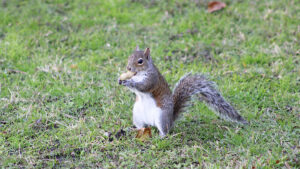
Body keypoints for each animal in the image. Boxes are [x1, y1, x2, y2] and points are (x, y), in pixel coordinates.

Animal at [118, 46, 247, 137]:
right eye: (129, 57)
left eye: (140, 61)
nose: (128, 68)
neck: (138, 74)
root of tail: (171, 120)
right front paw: (120, 80)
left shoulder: (152, 79)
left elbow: (143, 86)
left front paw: (128, 82)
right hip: (137, 115)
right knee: (141, 127)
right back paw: (133, 129)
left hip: (161, 116)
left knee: (165, 131)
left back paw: (161, 136)